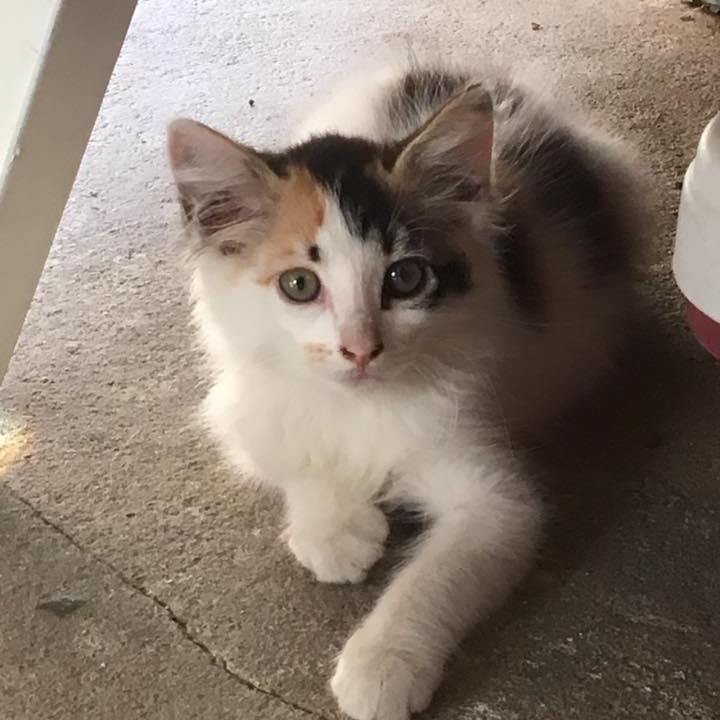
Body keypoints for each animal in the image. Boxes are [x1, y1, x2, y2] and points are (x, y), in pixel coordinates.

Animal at [167, 64, 642, 720]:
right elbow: (289, 451)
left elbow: (441, 573)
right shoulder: (246, 402)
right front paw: (332, 529)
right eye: (299, 285)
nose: (361, 349)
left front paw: (382, 663)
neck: (360, 404)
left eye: (406, 277)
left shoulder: (493, 490)